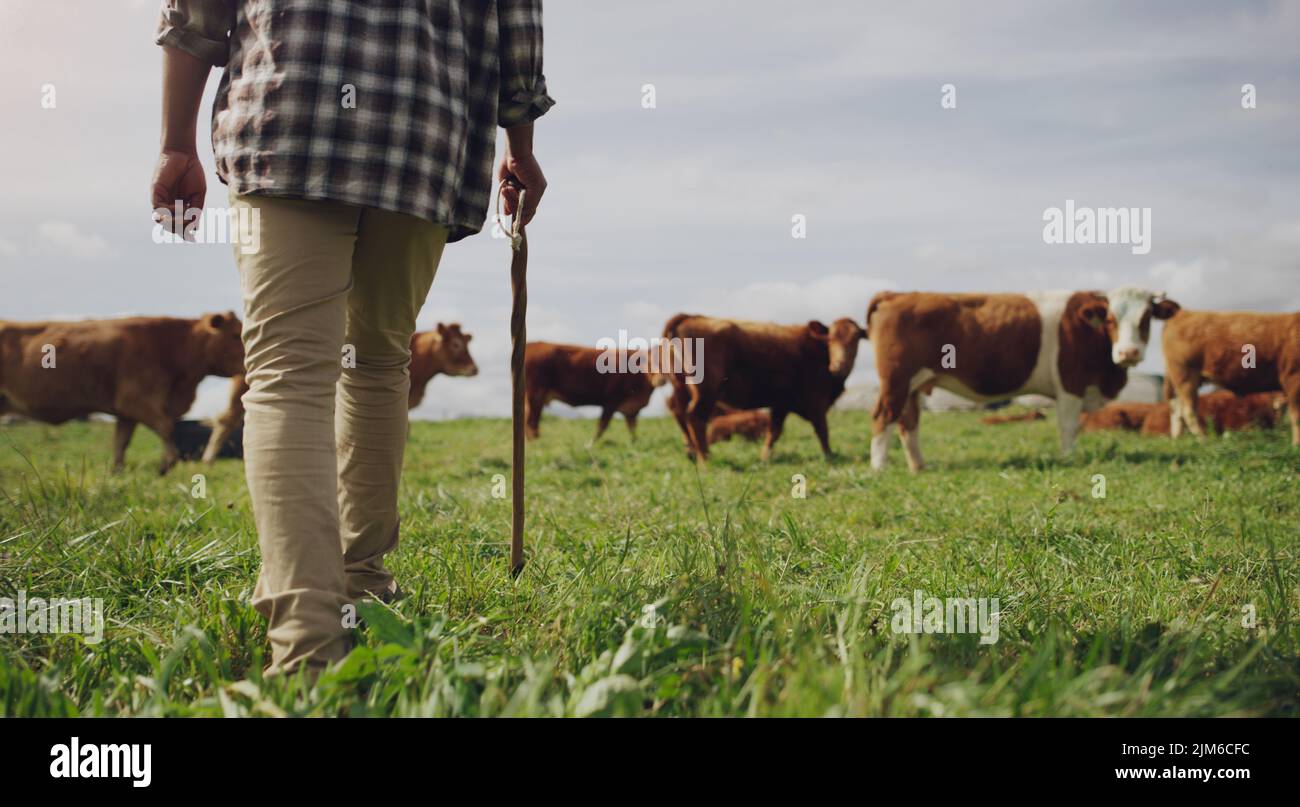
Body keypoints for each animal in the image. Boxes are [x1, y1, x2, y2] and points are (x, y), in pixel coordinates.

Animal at [0, 310, 244, 473]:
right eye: (234, 335)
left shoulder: (126, 411)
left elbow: (121, 442)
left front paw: (117, 471)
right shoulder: (136, 400)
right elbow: (166, 427)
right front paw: (166, 464)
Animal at [522, 340, 655, 441]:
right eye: (650, 361)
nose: (658, 379)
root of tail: (531, 345)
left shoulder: (631, 409)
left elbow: (632, 429)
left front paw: (634, 443)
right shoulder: (611, 401)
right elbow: (602, 425)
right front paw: (592, 445)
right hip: (535, 395)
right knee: (531, 422)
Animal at [660, 311, 863, 460]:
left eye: (855, 340)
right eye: (830, 340)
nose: (839, 366)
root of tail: (689, 316)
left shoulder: (781, 404)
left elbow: (774, 432)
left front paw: (765, 457)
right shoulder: (816, 400)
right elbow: (822, 430)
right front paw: (830, 456)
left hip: (681, 388)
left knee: (679, 412)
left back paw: (691, 452)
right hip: (706, 390)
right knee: (695, 417)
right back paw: (705, 458)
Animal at [863, 284, 1180, 467]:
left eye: (1146, 319)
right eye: (1111, 320)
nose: (1129, 352)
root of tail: (895, 295)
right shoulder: (1070, 384)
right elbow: (1068, 426)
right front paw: (1069, 459)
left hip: (913, 386)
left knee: (908, 422)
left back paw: (919, 467)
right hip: (896, 380)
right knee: (883, 417)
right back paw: (879, 468)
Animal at [1164, 310, 1294, 447]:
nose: (1281, 400)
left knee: (1177, 411)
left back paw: (1178, 441)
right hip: (1186, 379)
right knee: (1187, 412)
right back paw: (1203, 440)